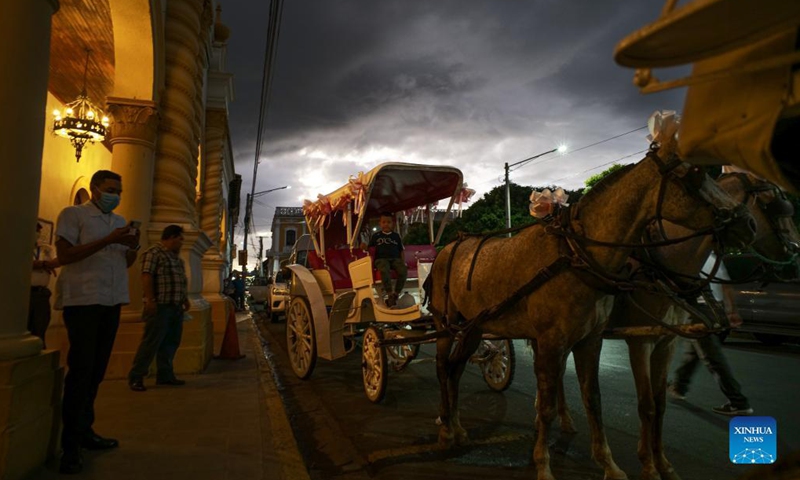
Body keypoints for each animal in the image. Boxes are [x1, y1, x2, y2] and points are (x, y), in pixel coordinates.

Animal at [424, 151, 756, 480]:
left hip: (473, 329)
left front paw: (611, 464)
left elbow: (594, 399)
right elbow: (549, 405)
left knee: (455, 369)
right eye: (694, 175)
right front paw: (544, 464)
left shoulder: (594, 340)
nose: (748, 223)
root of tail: (447, 248)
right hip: (446, 325)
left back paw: (457, 428)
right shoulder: (567, 341)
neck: (575, 253)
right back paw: (445, 428)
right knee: (442, 368)